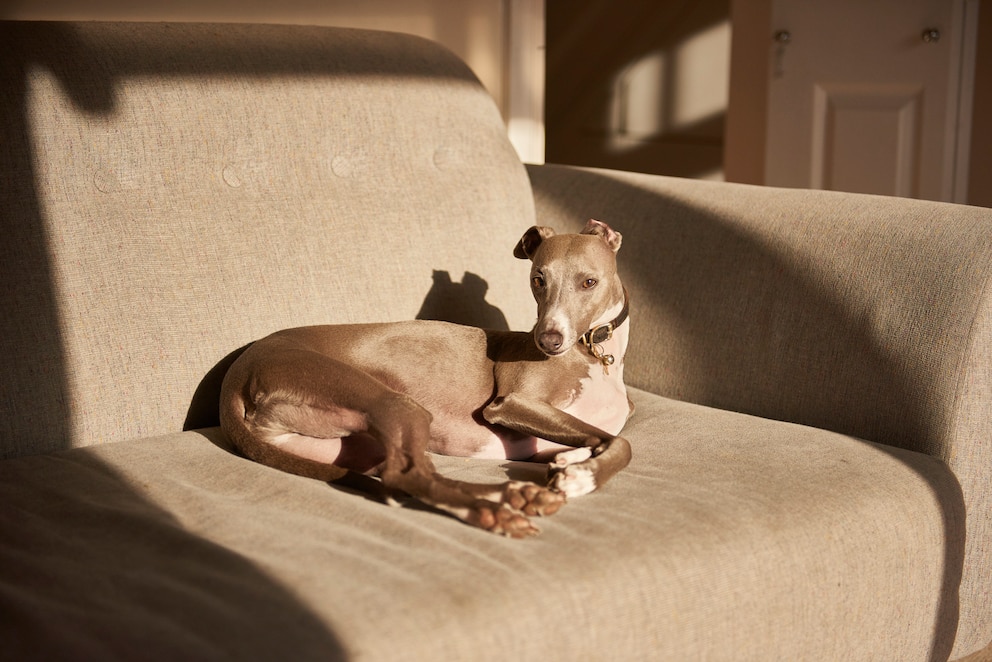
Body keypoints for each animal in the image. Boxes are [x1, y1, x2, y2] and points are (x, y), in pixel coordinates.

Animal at [220, 220, 632, 536]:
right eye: (538, 279)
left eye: (589, 282)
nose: (547, 341)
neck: (595, 355)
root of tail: (237, 374)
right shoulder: (513, 402)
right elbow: (621, 443)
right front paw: (581, 476)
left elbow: (601, 437)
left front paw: (571, 463)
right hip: (389, 401)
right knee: (405, 477)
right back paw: (494, 513)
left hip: (348, 444)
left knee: (419, 475)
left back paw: (520, 495)